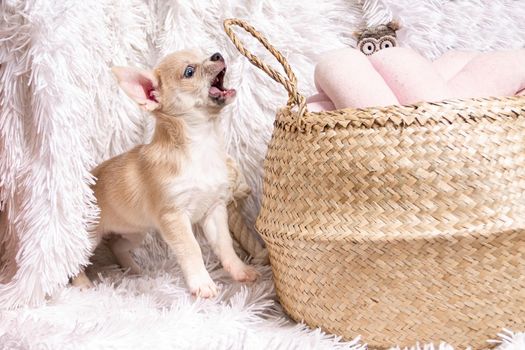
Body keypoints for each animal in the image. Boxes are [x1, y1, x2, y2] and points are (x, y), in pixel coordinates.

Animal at [74, 49, 258, 296]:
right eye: (189, 71)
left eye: (204, 54)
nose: (217, 54)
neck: (203, 144)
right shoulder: (174, 217)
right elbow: (192, 249)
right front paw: (202, 283)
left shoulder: (214, 210)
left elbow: (225, 245)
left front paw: (240, 271)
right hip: (90, 237)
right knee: (72, 260)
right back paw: (81, 283)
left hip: (134, 231)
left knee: (116, 245)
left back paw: (133, 269)